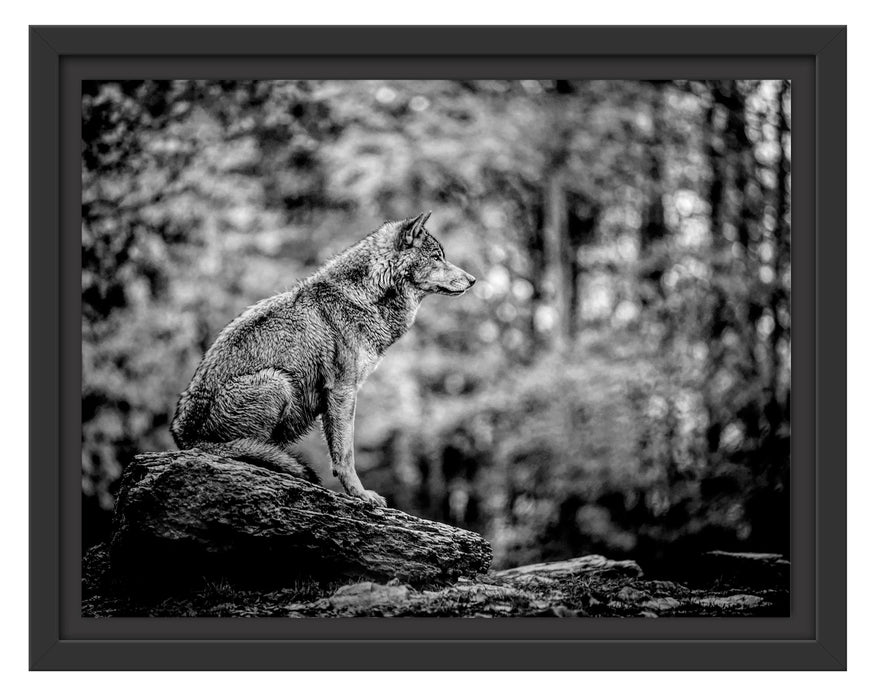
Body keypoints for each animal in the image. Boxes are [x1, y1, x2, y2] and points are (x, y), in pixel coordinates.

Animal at [170, 211, 474, 506]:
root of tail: (185, 437)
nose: (473, 280)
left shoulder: (336, 396)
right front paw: (361, 494)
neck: (364, 297)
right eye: (436, 257)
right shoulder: (343, 390)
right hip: (278, 382)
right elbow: (345, 454)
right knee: (248, 450)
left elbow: (339, 451)